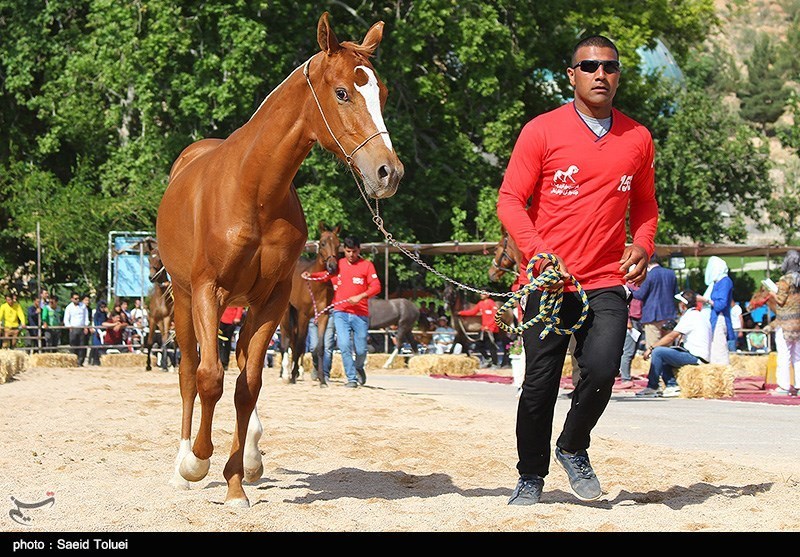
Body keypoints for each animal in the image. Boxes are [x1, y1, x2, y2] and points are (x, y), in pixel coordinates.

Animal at [278, 219, 340, 384]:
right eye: (323, 243)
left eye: (338, 244)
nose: (332, 266)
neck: (316, 284)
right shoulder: (303, 316)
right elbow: (299, 345)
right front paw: (292, 375)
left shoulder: (323, 316)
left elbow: (320, 347)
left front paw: (322, 380)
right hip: (286, 312)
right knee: (287, 340)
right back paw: (285, 373)